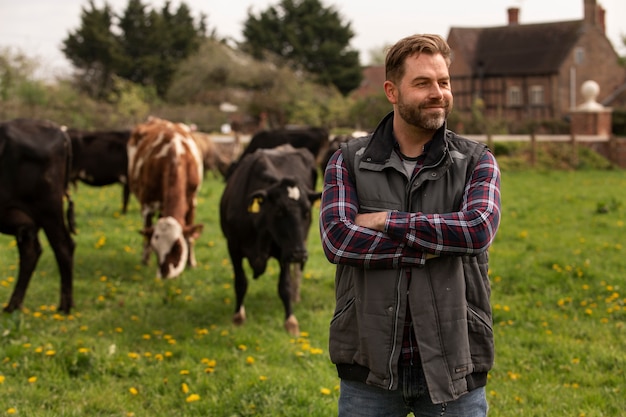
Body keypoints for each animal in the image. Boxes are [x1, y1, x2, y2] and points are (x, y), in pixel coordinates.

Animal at [0, 117, 76, 312]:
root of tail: (59, 130)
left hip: (49, 210)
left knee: (63, 247)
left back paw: (65, 306)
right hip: (26, 222)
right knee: (31, 253)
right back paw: (13, 305)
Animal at [127, 116, 202, 280]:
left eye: (177, 247)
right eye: (156, 249)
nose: (164, 274)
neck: (175, 156)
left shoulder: (192, 201)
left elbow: (190, 236)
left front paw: (191, 263)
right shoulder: (147, 204)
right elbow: (146, 234)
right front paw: (145, 261)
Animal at [219, 144, 320, 334]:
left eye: (307, 212)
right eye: (279, 211)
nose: (299, 254)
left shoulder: (285, 251)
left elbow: (284, 286)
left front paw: (290, 321)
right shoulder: (233, 246)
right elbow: (240, 282)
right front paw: (238, 317)